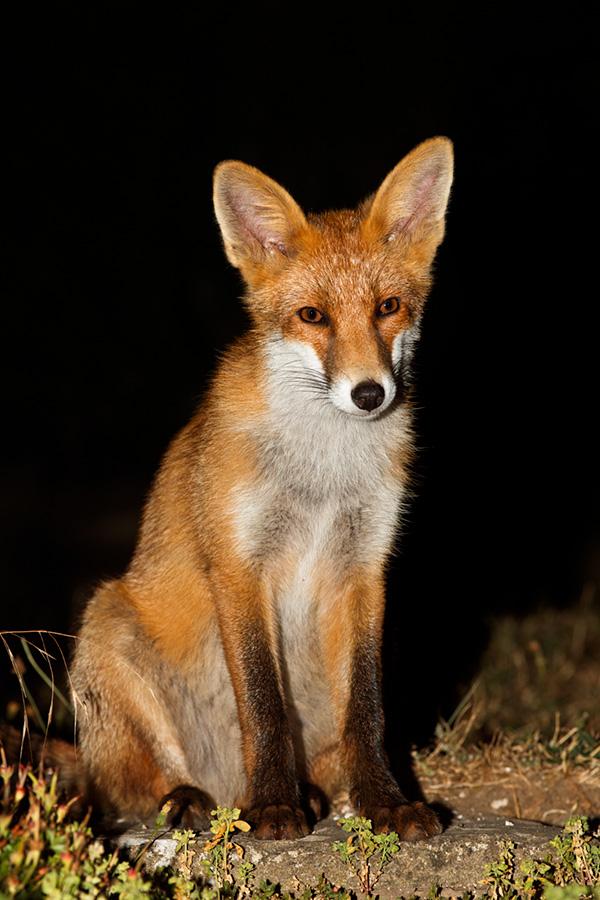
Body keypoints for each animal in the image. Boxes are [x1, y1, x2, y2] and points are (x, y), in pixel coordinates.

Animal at [68, 136, 454, 842]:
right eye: (312, 317)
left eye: (388, 307)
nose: (369, 394)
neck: (324, 472)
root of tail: (224, 784)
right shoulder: (239, 561)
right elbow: (263, 704)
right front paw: (274, 806)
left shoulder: (364, 566)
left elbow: (367, 711)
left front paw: (384, 803)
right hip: (106, 623)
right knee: (130, 787)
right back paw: (190, 801)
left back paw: (321, 795)